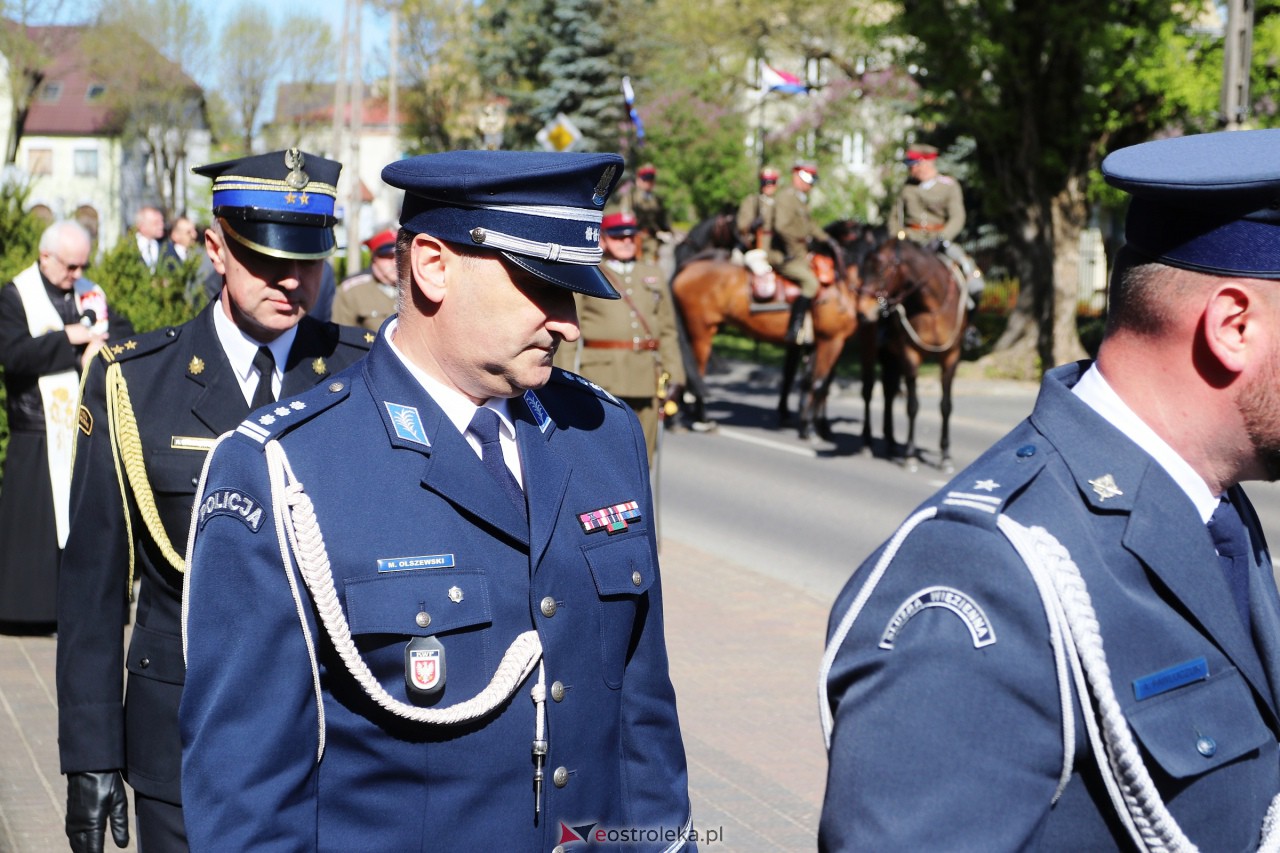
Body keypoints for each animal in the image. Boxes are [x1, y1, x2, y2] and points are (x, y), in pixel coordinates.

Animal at [670, 242, 860, 435]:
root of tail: (688, 265)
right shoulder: (831, 340)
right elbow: (819, 383)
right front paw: (811, 428)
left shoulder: (815, 343)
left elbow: (808, 380)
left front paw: (807, 422)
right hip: (702, 330)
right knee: (695, 372)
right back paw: (701, 419)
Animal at [855, 235, 962, 468]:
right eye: (861, 270)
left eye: (881, 270)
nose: (861, 312)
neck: (933, 307)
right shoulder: (910, 355)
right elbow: (912, 405)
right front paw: (911, 454)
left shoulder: (951, 357)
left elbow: (946, 406)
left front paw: (945, 454)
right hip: (870, 348)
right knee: (868, 391)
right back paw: (867, 442)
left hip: (891, 356)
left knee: (888, 391)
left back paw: (891, 441)